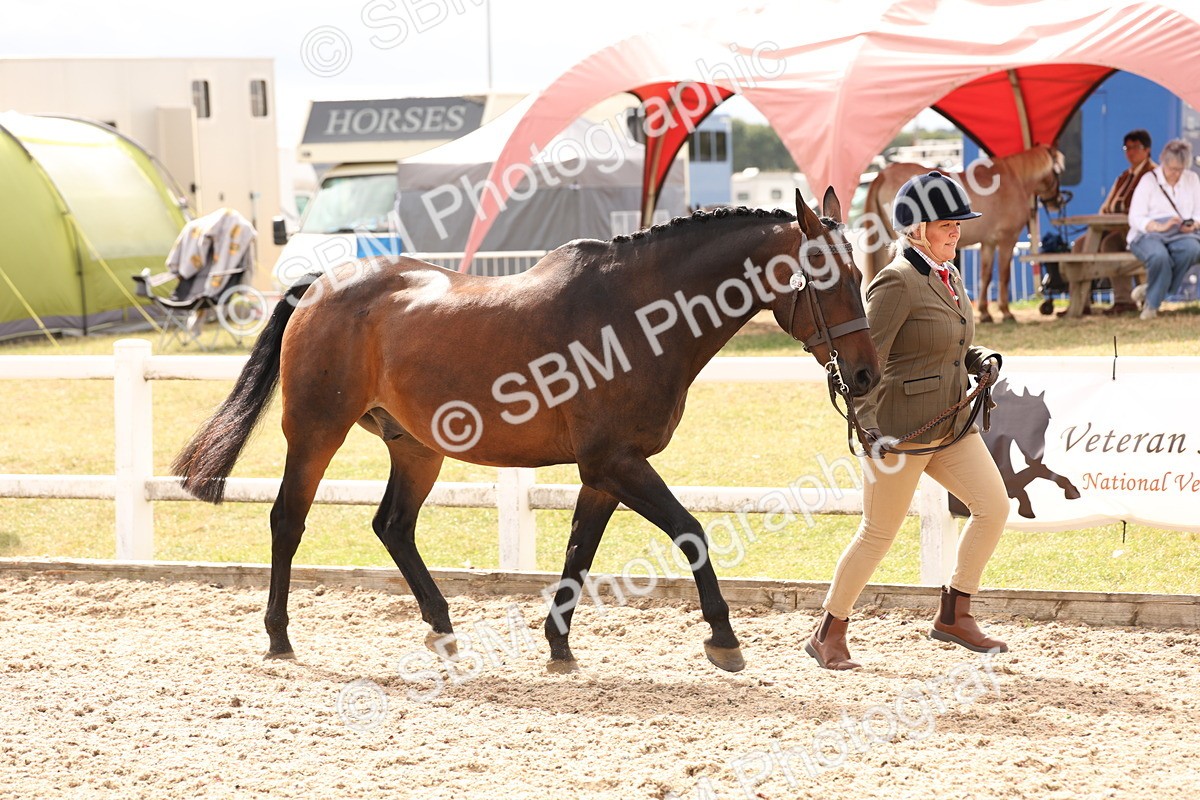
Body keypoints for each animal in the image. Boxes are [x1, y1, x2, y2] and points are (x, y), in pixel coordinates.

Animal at [171, 188, 881, 675]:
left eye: (861, 274)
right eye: (828, 277)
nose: (866, 374)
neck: (638, 315)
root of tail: (320, 284)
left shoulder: (603, 474)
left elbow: (578, 553)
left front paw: (559, 645)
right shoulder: (617, 463)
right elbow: (692, 533)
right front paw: (724, 640)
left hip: (417, 447)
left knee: (393, 526)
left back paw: (442, 628)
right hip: (317, 432)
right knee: (288, 520)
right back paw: (279, 636)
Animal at [860, 145, 1065, 323]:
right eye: (1058, 172)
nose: (1058, 201)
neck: (1015, 179)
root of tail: (882, 175)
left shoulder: (988, 242)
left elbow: (986, 275)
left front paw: (985, 313)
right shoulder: (1007, 239)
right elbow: (1004, 274)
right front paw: (1006, 312)